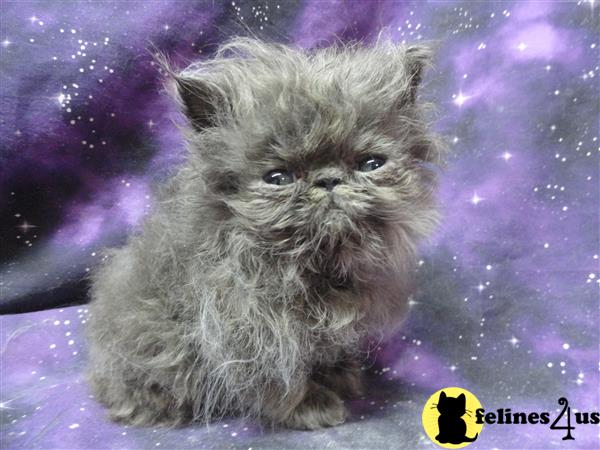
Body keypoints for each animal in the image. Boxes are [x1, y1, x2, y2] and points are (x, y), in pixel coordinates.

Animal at [86, 37, 444, 430]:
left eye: (370, 164)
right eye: (278, 177)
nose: (328, 179)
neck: (313, 265)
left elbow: (322, 354)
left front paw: (339, 375)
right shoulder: (249, 330)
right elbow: (280, 380)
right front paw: (312, 407)